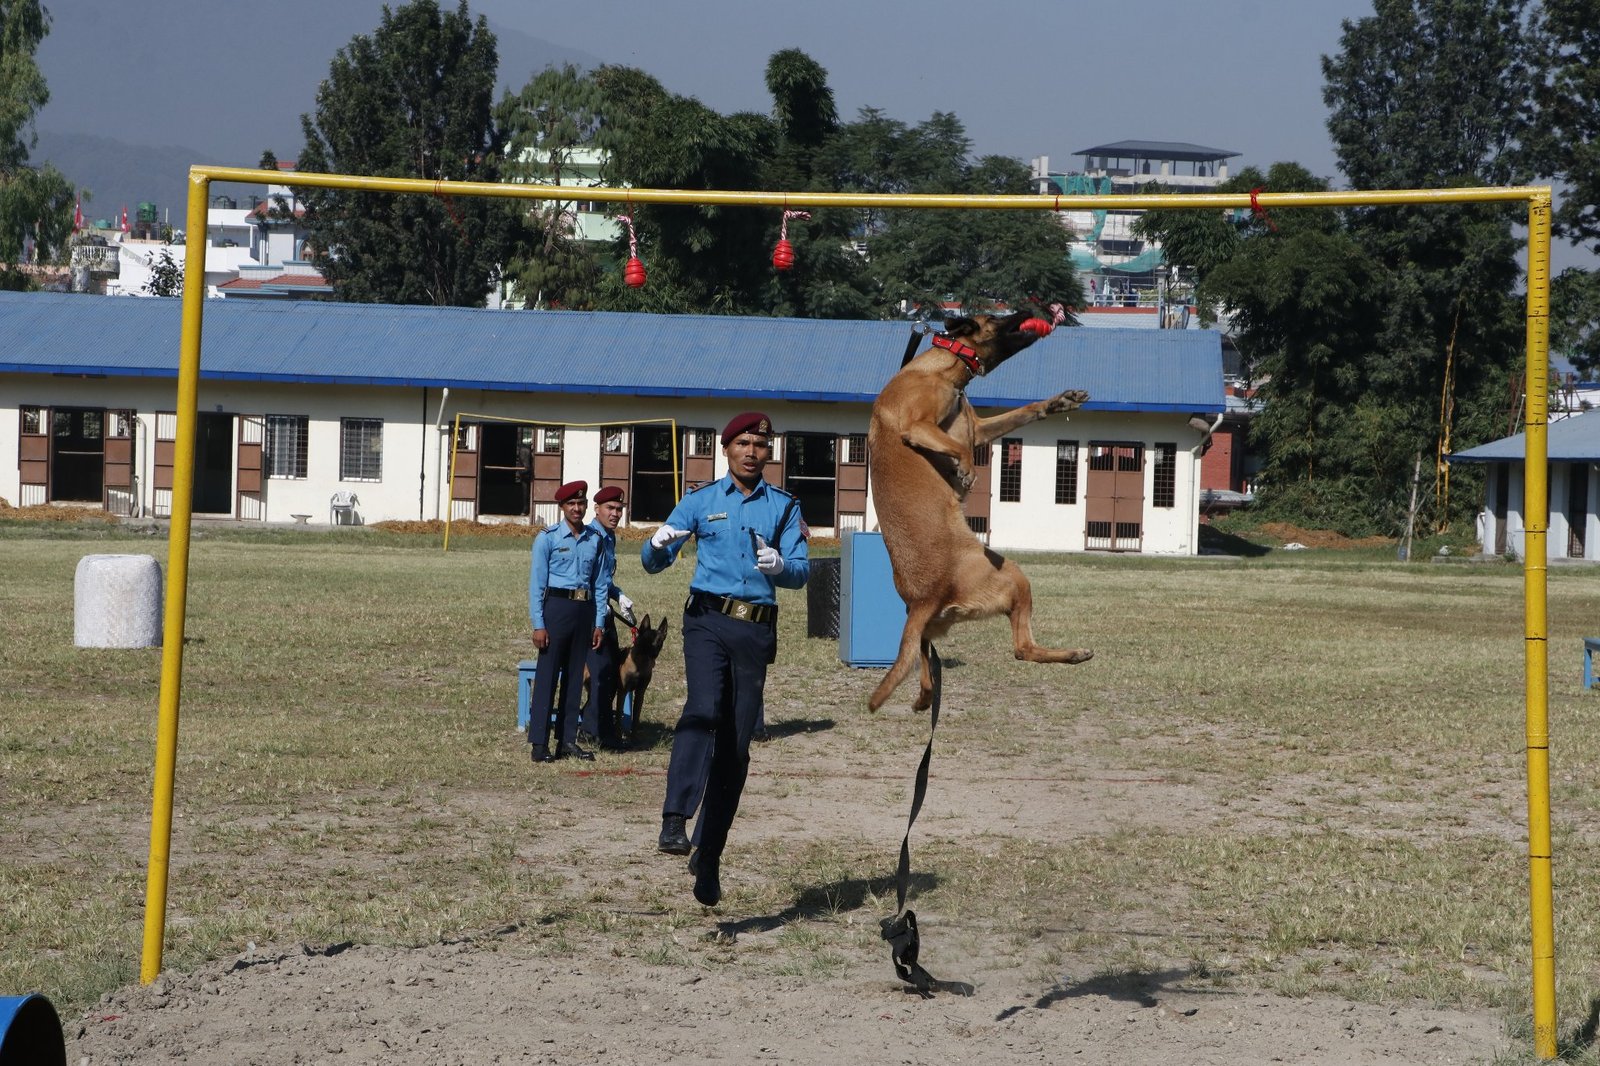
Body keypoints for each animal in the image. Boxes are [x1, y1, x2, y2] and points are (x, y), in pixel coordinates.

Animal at [866, 311, 1092, 712]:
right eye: (997, 316)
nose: (1031, 311)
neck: (943, 367)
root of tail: (924, 597)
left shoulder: (979, 429)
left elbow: (1020, 413)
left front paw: (1058, 402)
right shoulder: (918, 426)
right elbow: (960, 449)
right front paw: (966, 471)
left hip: (930, 628)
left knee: (924, 655)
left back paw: (925, 697)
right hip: (1013, 575)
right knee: (1022, 649)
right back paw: (1072, 654)